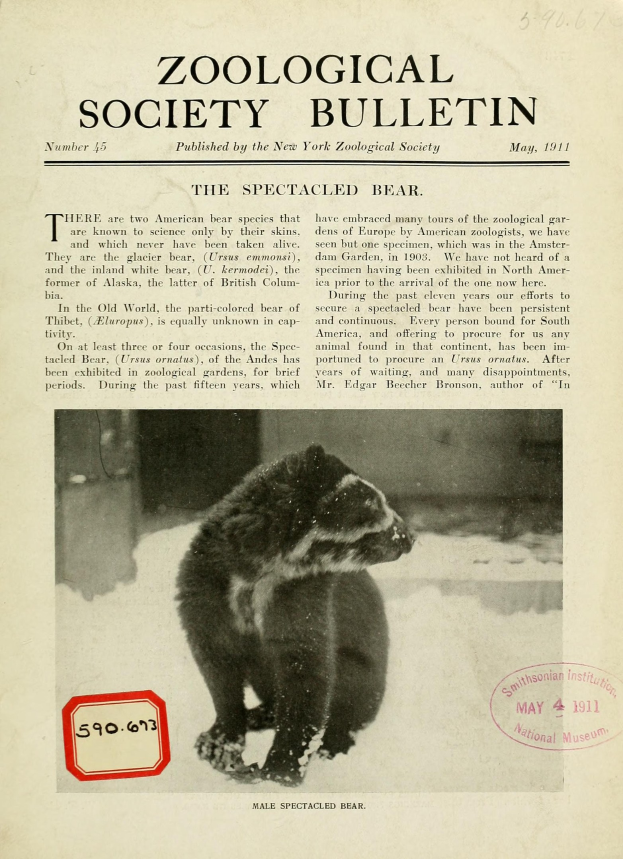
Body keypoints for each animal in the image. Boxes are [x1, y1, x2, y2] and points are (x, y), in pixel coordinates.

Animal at [177, 444, 413, 786]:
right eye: (372, 508)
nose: (409, 537)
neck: (259, 572)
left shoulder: (303, 600)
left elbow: (307, 677)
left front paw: (281, 769)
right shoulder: (205, 595)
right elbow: (219, 672)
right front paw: (218, 743)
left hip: (364, 668)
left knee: (351, 702)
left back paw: (333, 744)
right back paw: (258, 715)